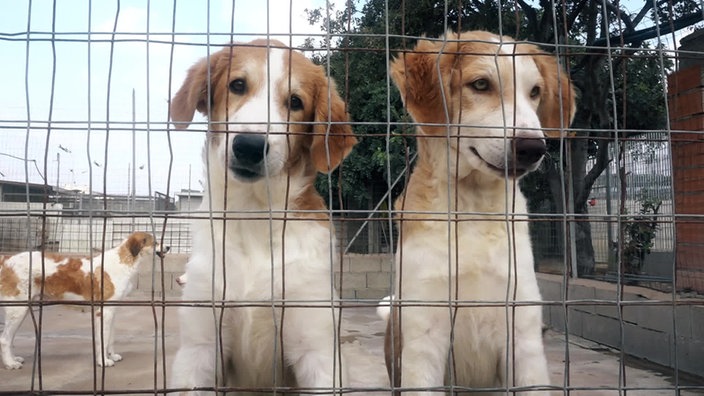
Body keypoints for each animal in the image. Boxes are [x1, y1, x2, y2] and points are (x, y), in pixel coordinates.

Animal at [0, 230, 169, 370]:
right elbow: (102, 339)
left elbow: (110, 338)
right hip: (17, 310)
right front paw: (103, 361)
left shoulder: (112, 311)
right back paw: (10, 363)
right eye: (155, 242)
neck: (124, 260)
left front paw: (112, 355)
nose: (168, 246)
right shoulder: (104, 312)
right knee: (4, 339)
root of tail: (7, 259)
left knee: (10, 338)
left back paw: (13, 359)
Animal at [168, 38, 358, 396]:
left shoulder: (317, 352)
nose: (250, 146)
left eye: (295, 102)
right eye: (237, 85)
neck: (255, 214)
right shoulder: (199, 350)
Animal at [382, 31, 576, 396]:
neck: (474, 210)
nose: (534, 149)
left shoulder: (522, 332)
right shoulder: (423, 337)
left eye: (535, 91)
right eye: (481, 84)